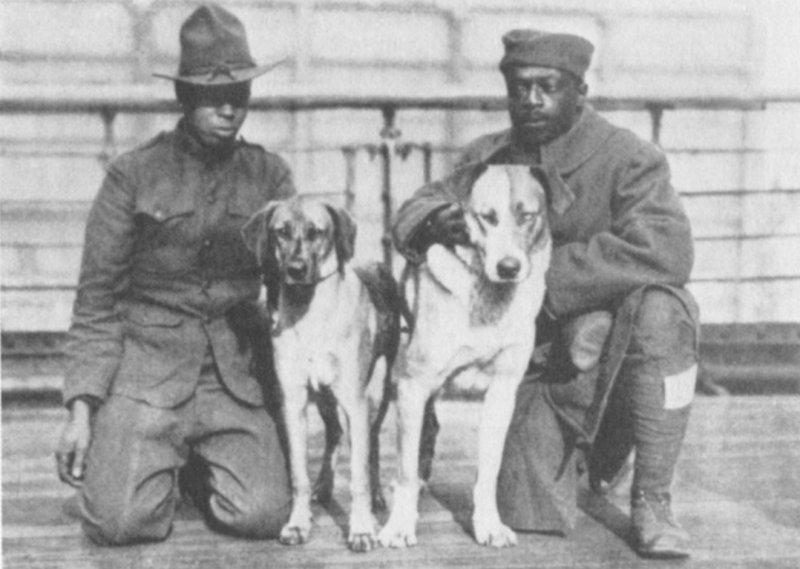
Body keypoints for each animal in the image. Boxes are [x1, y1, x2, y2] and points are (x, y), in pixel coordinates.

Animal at [242, 198, 401, 553]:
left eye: (317, 232)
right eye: (281, 232)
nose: (296, 269)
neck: (310, 311)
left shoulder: (355, 401)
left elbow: (358, 476)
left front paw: (361, 529)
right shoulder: (293, 401)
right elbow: (298, 474)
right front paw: (297, 523)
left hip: (380, 389)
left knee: (371, 442)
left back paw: (377, 497)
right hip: (324, 393)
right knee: (334, 433)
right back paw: (324, 487)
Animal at [378, 164, 552, 549]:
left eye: (527, 216)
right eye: (486, 217)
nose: (508, 267)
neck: (488, 298)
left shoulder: (502, 393)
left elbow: (488, 470)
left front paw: (489, 525)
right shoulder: (412, 387)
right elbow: (405, 468)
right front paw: (399, 526)